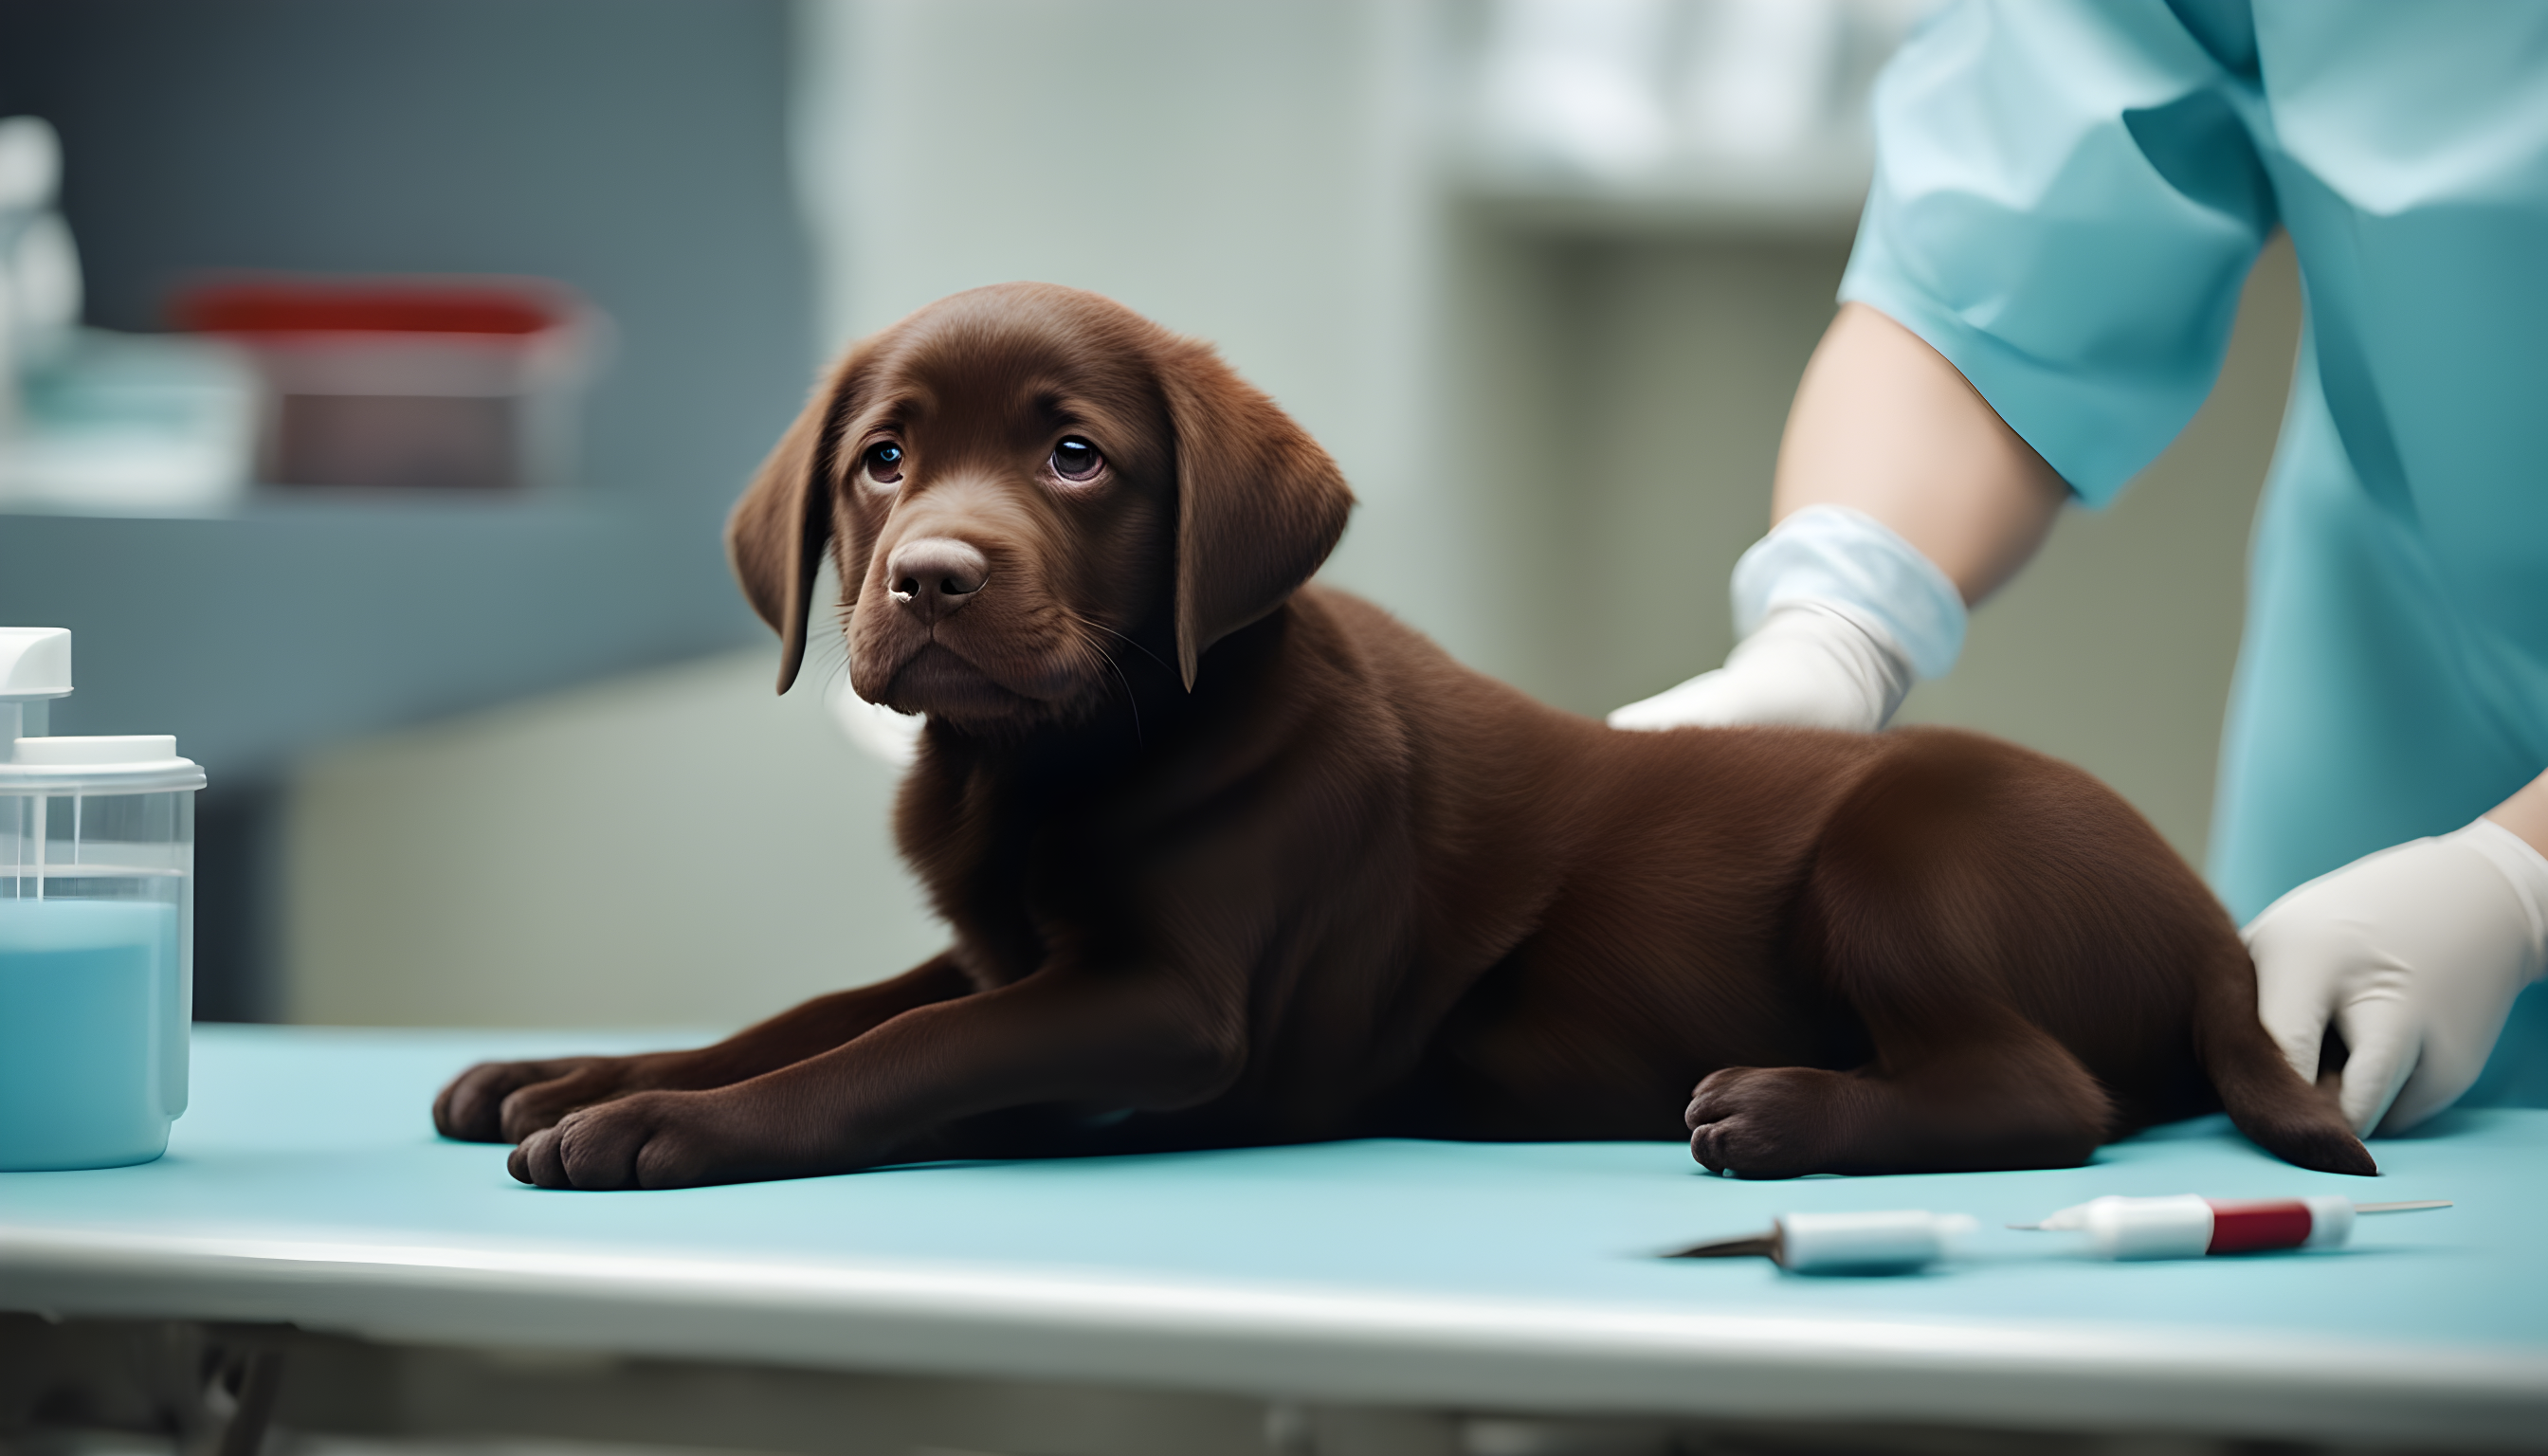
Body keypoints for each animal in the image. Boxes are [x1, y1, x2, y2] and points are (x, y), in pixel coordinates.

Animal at [432, 282, 2364, 1183]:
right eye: (882, 460)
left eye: (1075, 457)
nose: (931, 578)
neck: (1062, 757)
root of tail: (2215, 933)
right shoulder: (1006, 951)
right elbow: (811, 1010)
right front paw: (573, 1075)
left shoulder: (1167, 1006)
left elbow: (890, 1056)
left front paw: (661, 1130)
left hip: (1915, 838)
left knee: (2044, 1092)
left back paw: (1784, 1109)